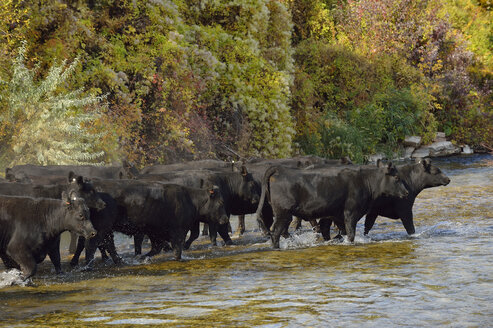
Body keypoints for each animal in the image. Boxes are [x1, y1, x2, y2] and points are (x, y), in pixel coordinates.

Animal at [254, 163, 408, 247]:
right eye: (396, 177)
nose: (406, 192)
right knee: (276, 233)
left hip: (284, 214)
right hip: (283, 213)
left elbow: (340, 232)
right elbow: (350, 234)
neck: (365, 181)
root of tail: (280, 169)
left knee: (283, 232)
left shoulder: (337, 215)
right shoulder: (350, 213)